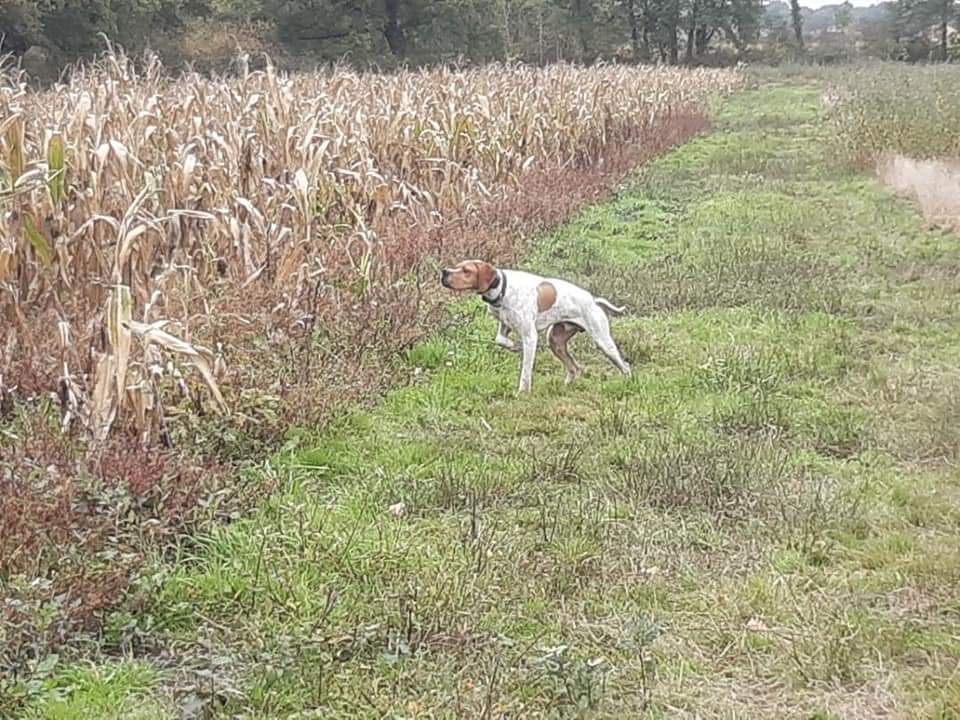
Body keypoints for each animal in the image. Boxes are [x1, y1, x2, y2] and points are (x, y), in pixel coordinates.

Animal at [440, 260, 632, 394]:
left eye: (466, 270)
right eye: (457, 266)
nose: (444, 271)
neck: (503, 289)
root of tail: (594, 300)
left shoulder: (530, 336)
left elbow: (525, 371)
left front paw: (523, 391)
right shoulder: (504, 325)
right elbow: (500, 340)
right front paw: (513, 346)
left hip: (603, 342)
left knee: (625, 366)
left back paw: (628, 382)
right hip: (555, 341)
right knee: (574, 368)